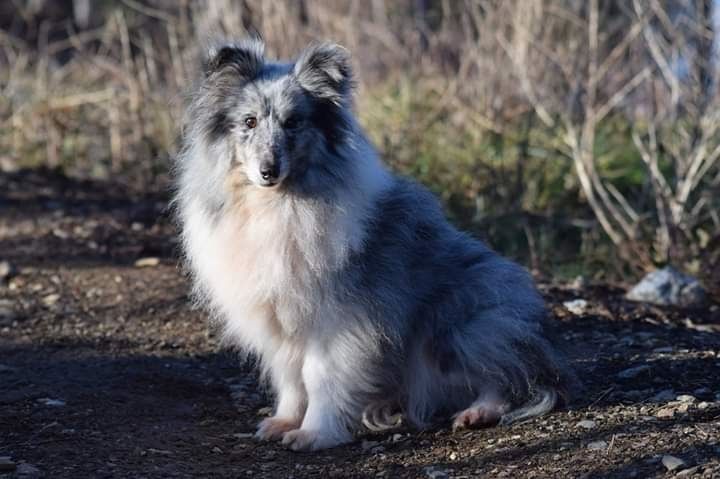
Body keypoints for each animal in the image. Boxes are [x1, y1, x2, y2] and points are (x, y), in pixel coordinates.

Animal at [172, 39, 572, 452]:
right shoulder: (281, 322)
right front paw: (283, 422)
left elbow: (318, 376)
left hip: (460, 324)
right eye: (249, 122)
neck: (276, 204)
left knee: (507, 376)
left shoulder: (338, 320)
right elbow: (291, 377)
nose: (269, 171)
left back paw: (478, 412)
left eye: (293, 122)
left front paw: (314, 433)